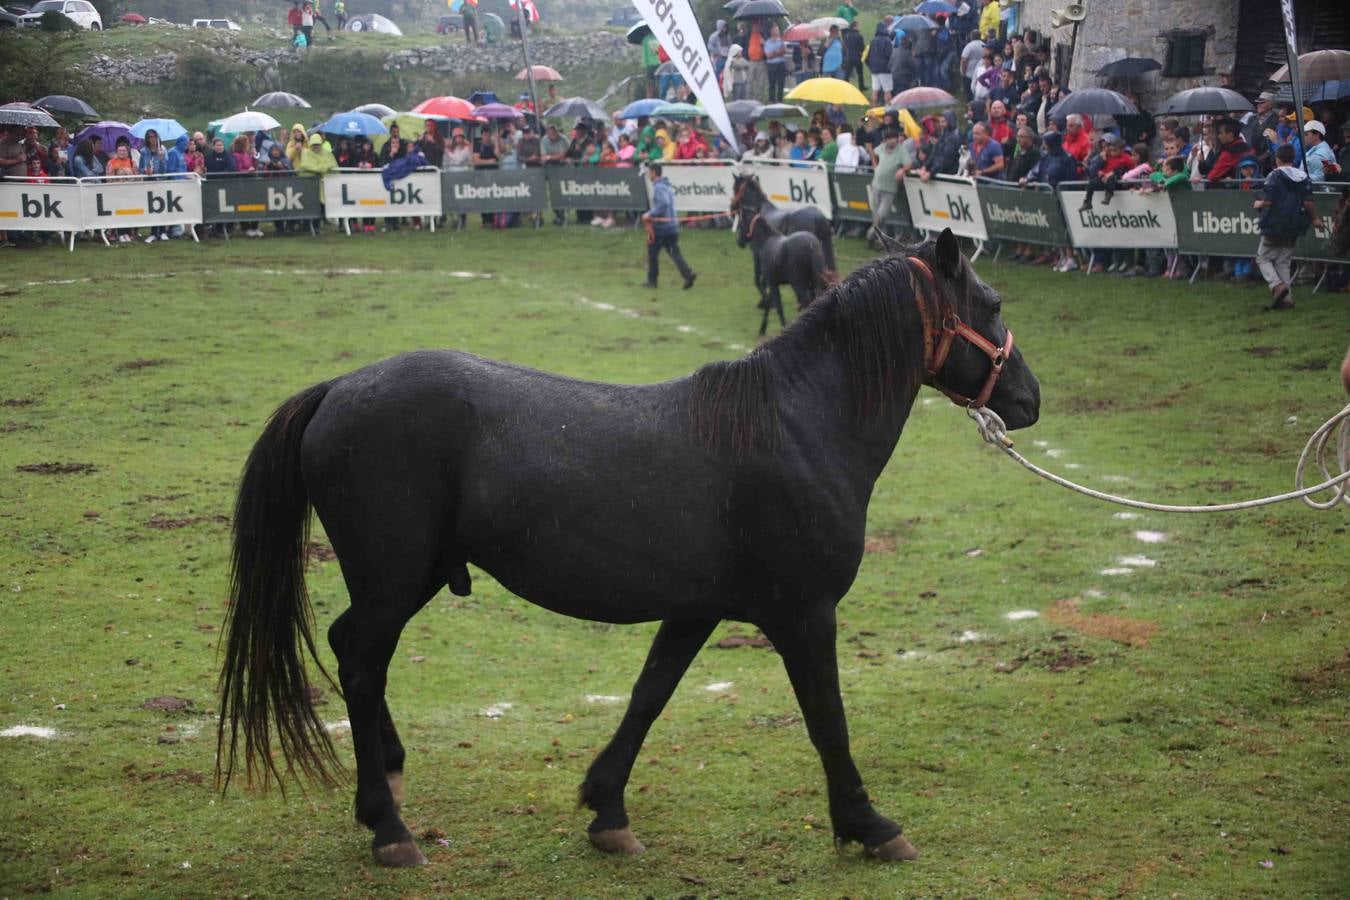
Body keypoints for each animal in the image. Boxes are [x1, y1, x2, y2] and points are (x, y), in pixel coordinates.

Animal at [218, 229, 1042, 868]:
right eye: (994, 304)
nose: (1029, 399)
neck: (795, 426)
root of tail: (339, 388)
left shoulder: (696, 609)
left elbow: (650, 695)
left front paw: (606, 809)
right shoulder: (804, 615)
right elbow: (826, 720)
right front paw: (869, 826)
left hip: (405, 579)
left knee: (351, 649)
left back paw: (386, 782)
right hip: (392, 580)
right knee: (362, 663)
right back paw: (389, 829)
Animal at [739, 206, 831, 335]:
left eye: (740, 224)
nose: (739, 242)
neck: (767, 241)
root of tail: (811, 245)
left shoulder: (772, 283)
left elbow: (778, 307)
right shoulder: (773, 284)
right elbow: (770, 304)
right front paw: (762, 329)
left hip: (798, 283)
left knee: (806, 302)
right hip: (813, 281)